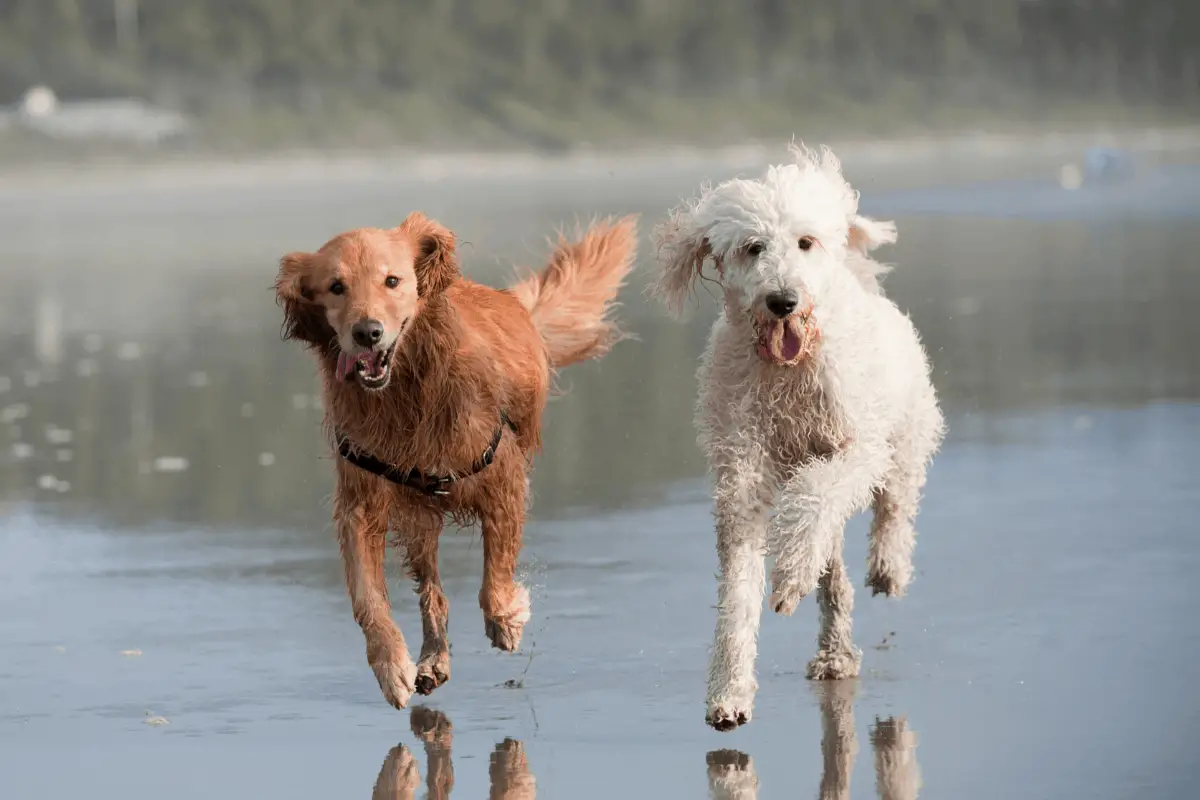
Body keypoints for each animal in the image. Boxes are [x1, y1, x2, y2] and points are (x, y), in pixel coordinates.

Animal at [276, 211, 638, 705]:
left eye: (392, 280)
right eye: (336, 287)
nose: (367, 333)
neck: (407, 393)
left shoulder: (502, 476)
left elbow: (495, 575)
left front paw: (507, 617)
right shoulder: (361, 504)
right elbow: (367, 597)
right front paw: (390, 665)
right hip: (418, 519)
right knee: (432, 588)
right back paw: (432, 658)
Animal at [648, 143, 945, 734]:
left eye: (805, 242)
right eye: (752, 248)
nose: (782, 300)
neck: (790, 368)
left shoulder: (852, 450)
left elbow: (816, 495)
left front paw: (787, 575)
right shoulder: (741, 475)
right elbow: (739, 590)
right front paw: (729, 692)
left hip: (905, 434)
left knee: (895, 503)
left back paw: (887, 568)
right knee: (833, 575)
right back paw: (834, 649)